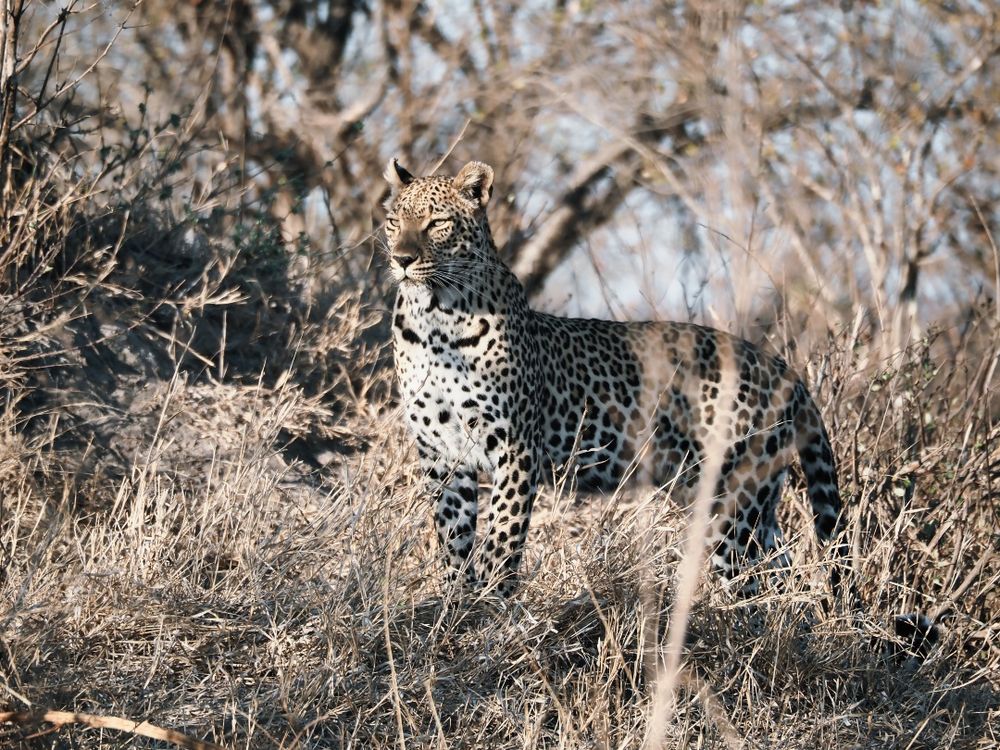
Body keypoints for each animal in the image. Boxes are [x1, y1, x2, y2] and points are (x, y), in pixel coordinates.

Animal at [381, 158, 937, 652]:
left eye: (436, 223)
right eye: (393, 221)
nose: (401, 259)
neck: (435, 320)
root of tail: (782, 365)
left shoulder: (515, 448)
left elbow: (501, 538)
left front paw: (490, 612)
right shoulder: (441, 456)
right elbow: (453, 539)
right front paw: (455, 608)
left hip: (730, 500)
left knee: (751, 580)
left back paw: (737, 642)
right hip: (748, 494)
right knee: (779, 569)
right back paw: (785, 640)